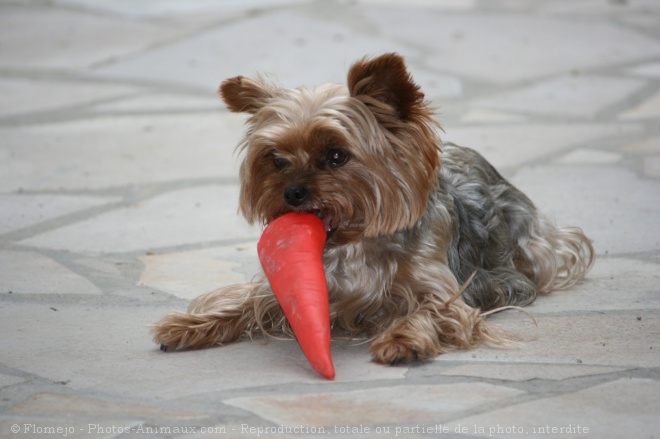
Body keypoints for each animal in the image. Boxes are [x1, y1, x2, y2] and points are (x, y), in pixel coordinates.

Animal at [152, 53, 596, 366]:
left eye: (336, 155)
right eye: (276, 159)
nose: (292, 193)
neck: (353, 246)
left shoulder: (448, 293)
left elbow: (432, 311)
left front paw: (402, 340)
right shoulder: (282, 288)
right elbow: (242, 302)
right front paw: (188, 326)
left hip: (536, 248)